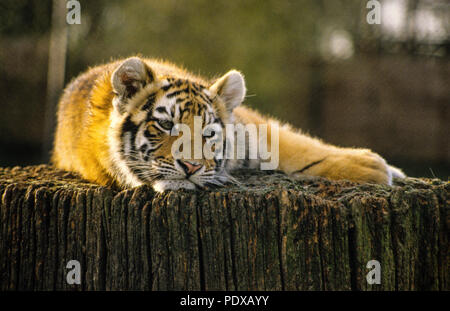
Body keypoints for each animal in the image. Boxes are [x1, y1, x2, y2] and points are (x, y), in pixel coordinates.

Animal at [51, 56, 404, 193]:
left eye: (209, 133)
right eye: (165, 124)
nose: (191, 167)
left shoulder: (254, 128)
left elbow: (296, 145)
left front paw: (374, 166)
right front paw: (376, 167)